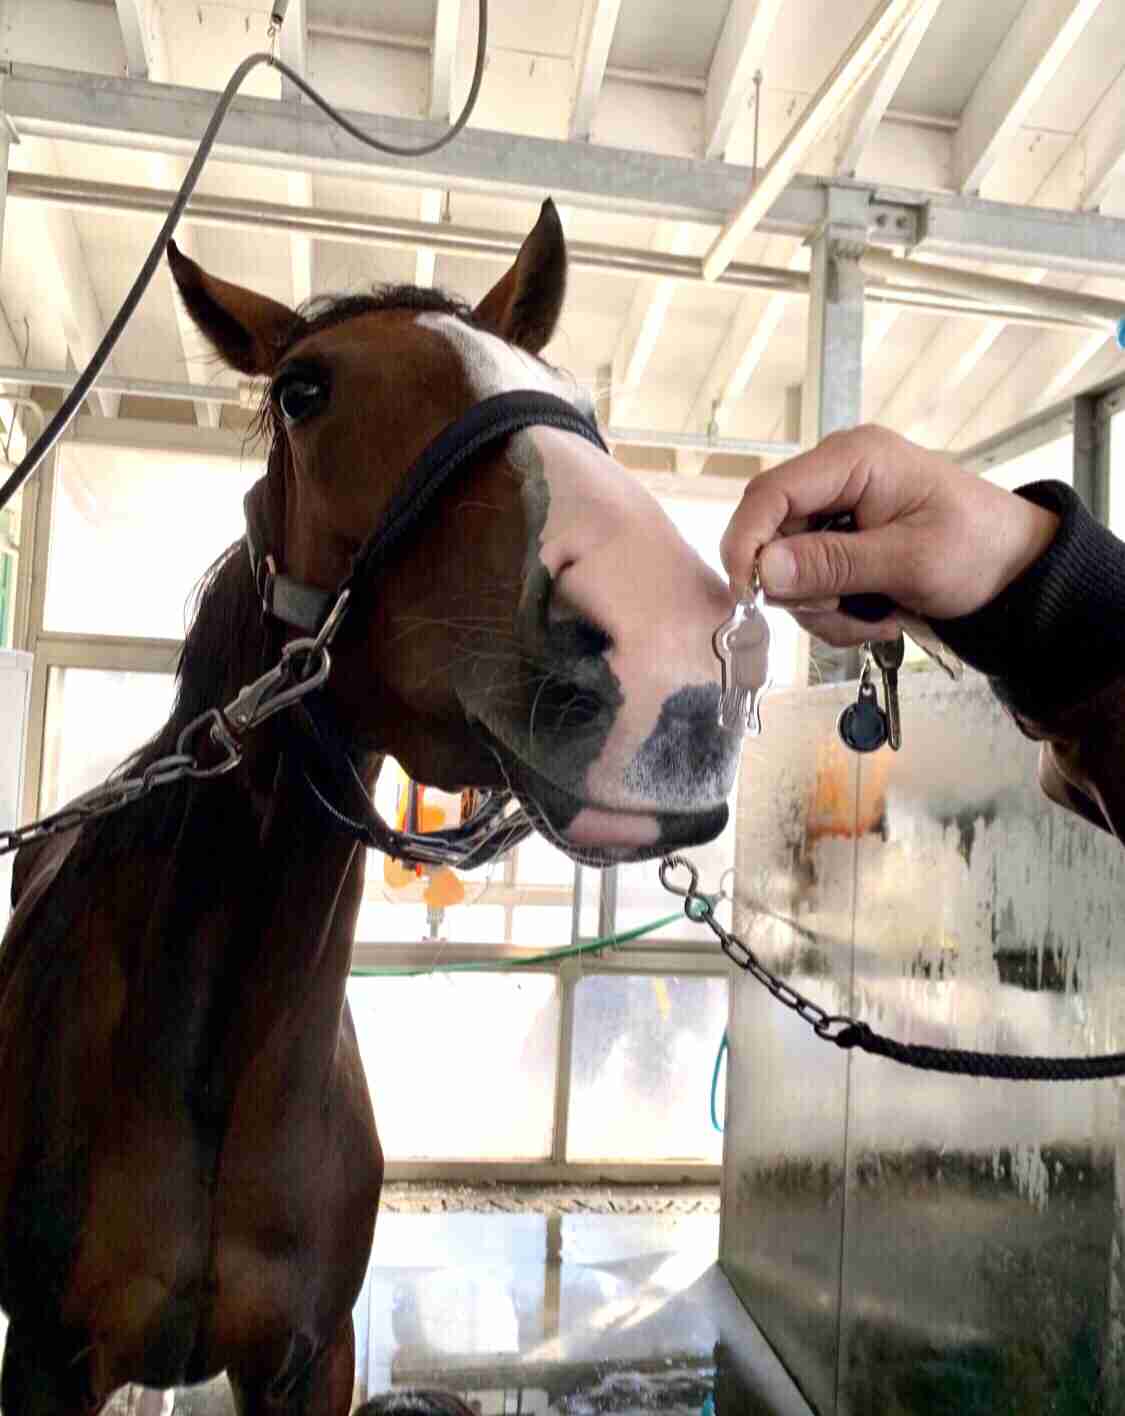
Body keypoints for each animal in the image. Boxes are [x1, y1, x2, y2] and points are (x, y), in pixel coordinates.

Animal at [0, 198, 741, 1416]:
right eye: (305, 389)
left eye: (569, 398)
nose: (672, 661)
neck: (215, 1064)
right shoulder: (52, 1362)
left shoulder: (314, 1356)